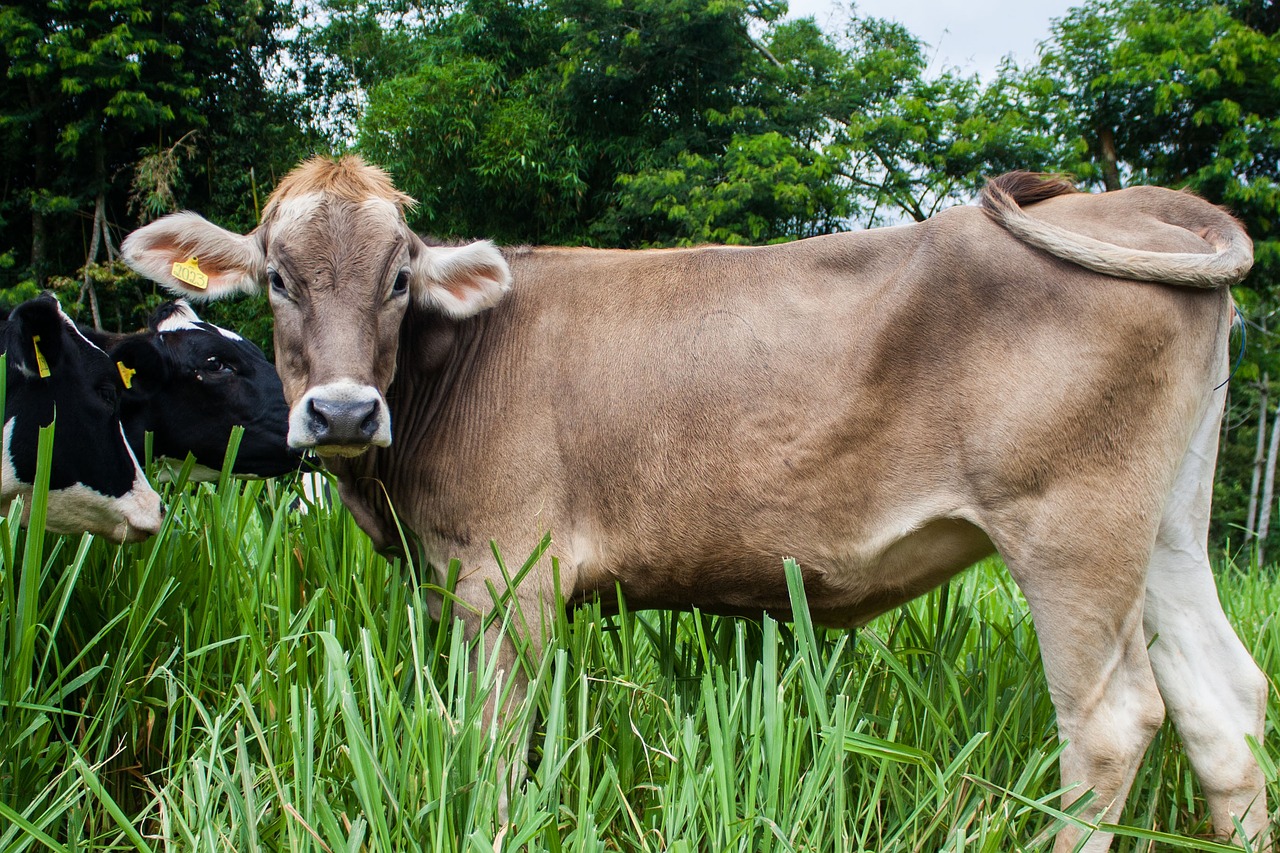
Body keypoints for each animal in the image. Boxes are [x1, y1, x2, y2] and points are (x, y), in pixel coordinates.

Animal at [120, 157, 1269, 845]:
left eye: (399, 277)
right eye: (275, 276)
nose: (346, 410)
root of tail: (1134, 201)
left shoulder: (507, 578)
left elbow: (491, 750)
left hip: (1070, 523)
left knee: (1111, 719)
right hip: (1165, 526)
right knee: (1221, 700)